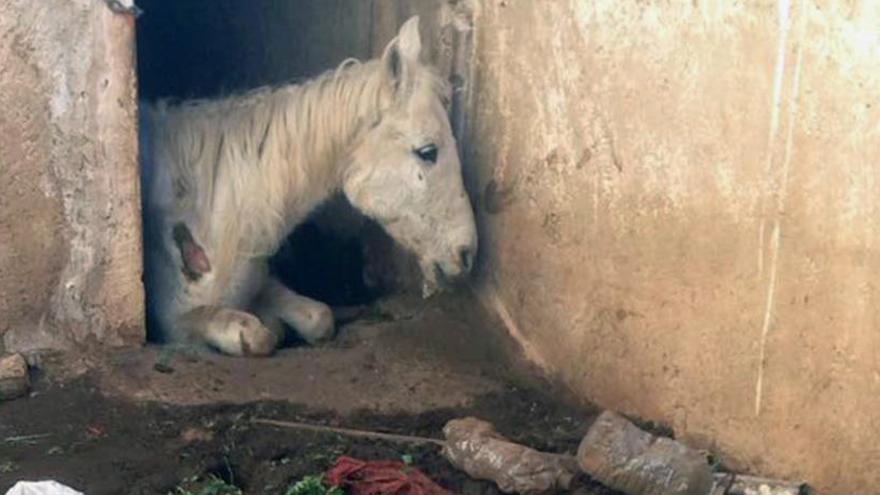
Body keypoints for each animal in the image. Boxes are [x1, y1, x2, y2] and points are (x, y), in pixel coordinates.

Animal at [141, 16, 478, 356]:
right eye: (428, 151)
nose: (467, 252)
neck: (212, 209)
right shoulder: (176, 323)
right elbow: (256, 335)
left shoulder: (264, 285)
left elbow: (318, 317)